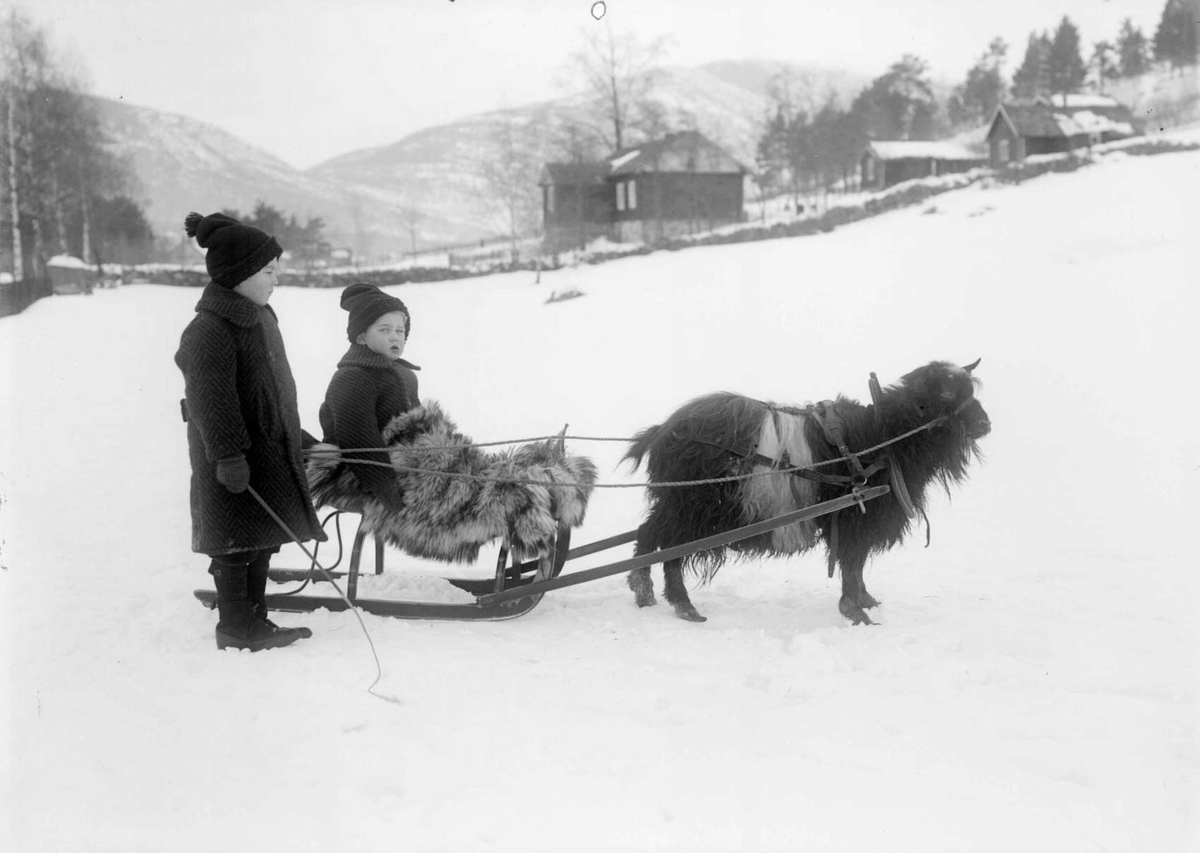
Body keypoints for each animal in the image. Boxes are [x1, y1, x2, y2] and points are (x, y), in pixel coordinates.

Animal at [624, 359, 988, 628]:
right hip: (692, 508)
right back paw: (682, 605)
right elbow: (852, 563)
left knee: (648, 534)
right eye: (945, 394)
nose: (985, 424)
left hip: (680, 505)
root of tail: (664, 431)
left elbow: (856, 564)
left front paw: (866, 601)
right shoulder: (855, 517)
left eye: (970, 389)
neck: (882, 438)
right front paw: (857, 613)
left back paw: (645, 594)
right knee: (666, 547)